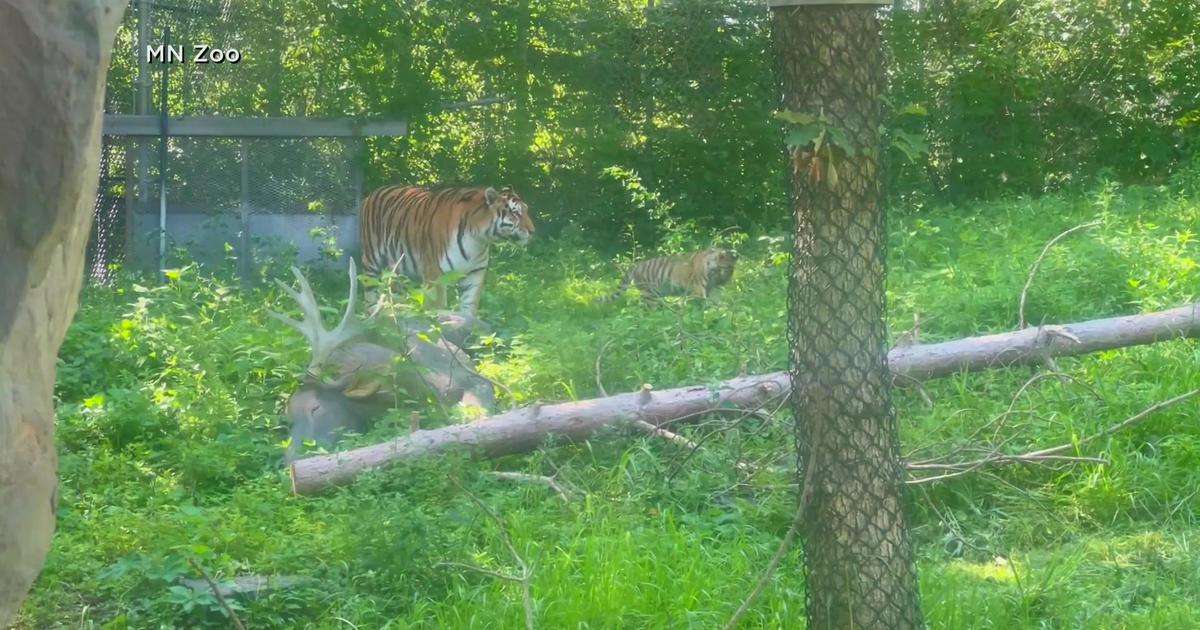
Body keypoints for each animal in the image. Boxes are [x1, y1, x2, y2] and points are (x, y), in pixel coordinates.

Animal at [357, 184, 537, 316]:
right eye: (515, 213)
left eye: (526, 210)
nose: (533, 231)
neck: (478, 239)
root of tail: (373, 193)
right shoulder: (434, 272)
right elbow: (437, 305)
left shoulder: (475, 273)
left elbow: (469, 304)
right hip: (371, 259)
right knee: (369, 289)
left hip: (397, 266)